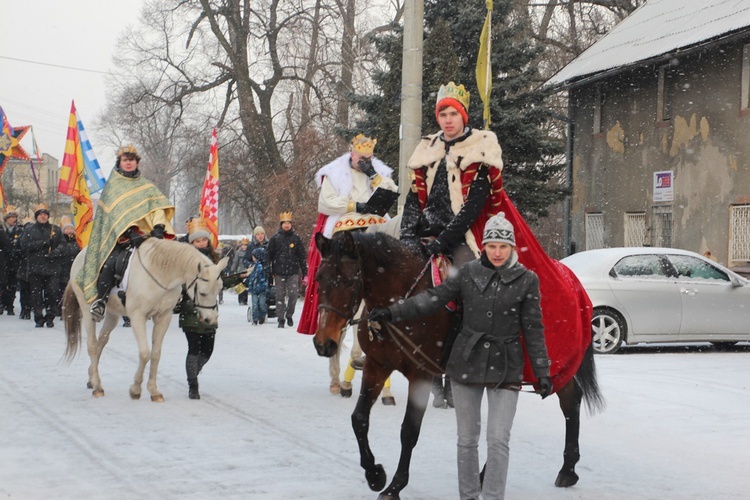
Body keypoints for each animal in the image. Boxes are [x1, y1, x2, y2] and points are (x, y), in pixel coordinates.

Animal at [63, 237, 228, 402]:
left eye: (219, 289)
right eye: (202, 293)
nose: (211, 320)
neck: (160, 272)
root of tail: (80, 255)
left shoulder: (163, 317)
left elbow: (155, 354)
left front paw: (154, 391)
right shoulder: (137, 316)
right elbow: (144, 353)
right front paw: (135, 389)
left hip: (112, 314)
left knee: (100, 343)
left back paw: (92, 378)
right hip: (87, 309)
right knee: (92, 345)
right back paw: (97, 386)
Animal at [312, 230, 604, 500]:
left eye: (349, 281)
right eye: (319, 279)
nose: (324, 343)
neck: (400, 300)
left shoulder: (421, 374)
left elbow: (409, 431)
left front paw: (394, 486)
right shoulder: (377, 365)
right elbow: (359, 419)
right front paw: (375, 474)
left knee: (569, 400)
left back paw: (566, 469)